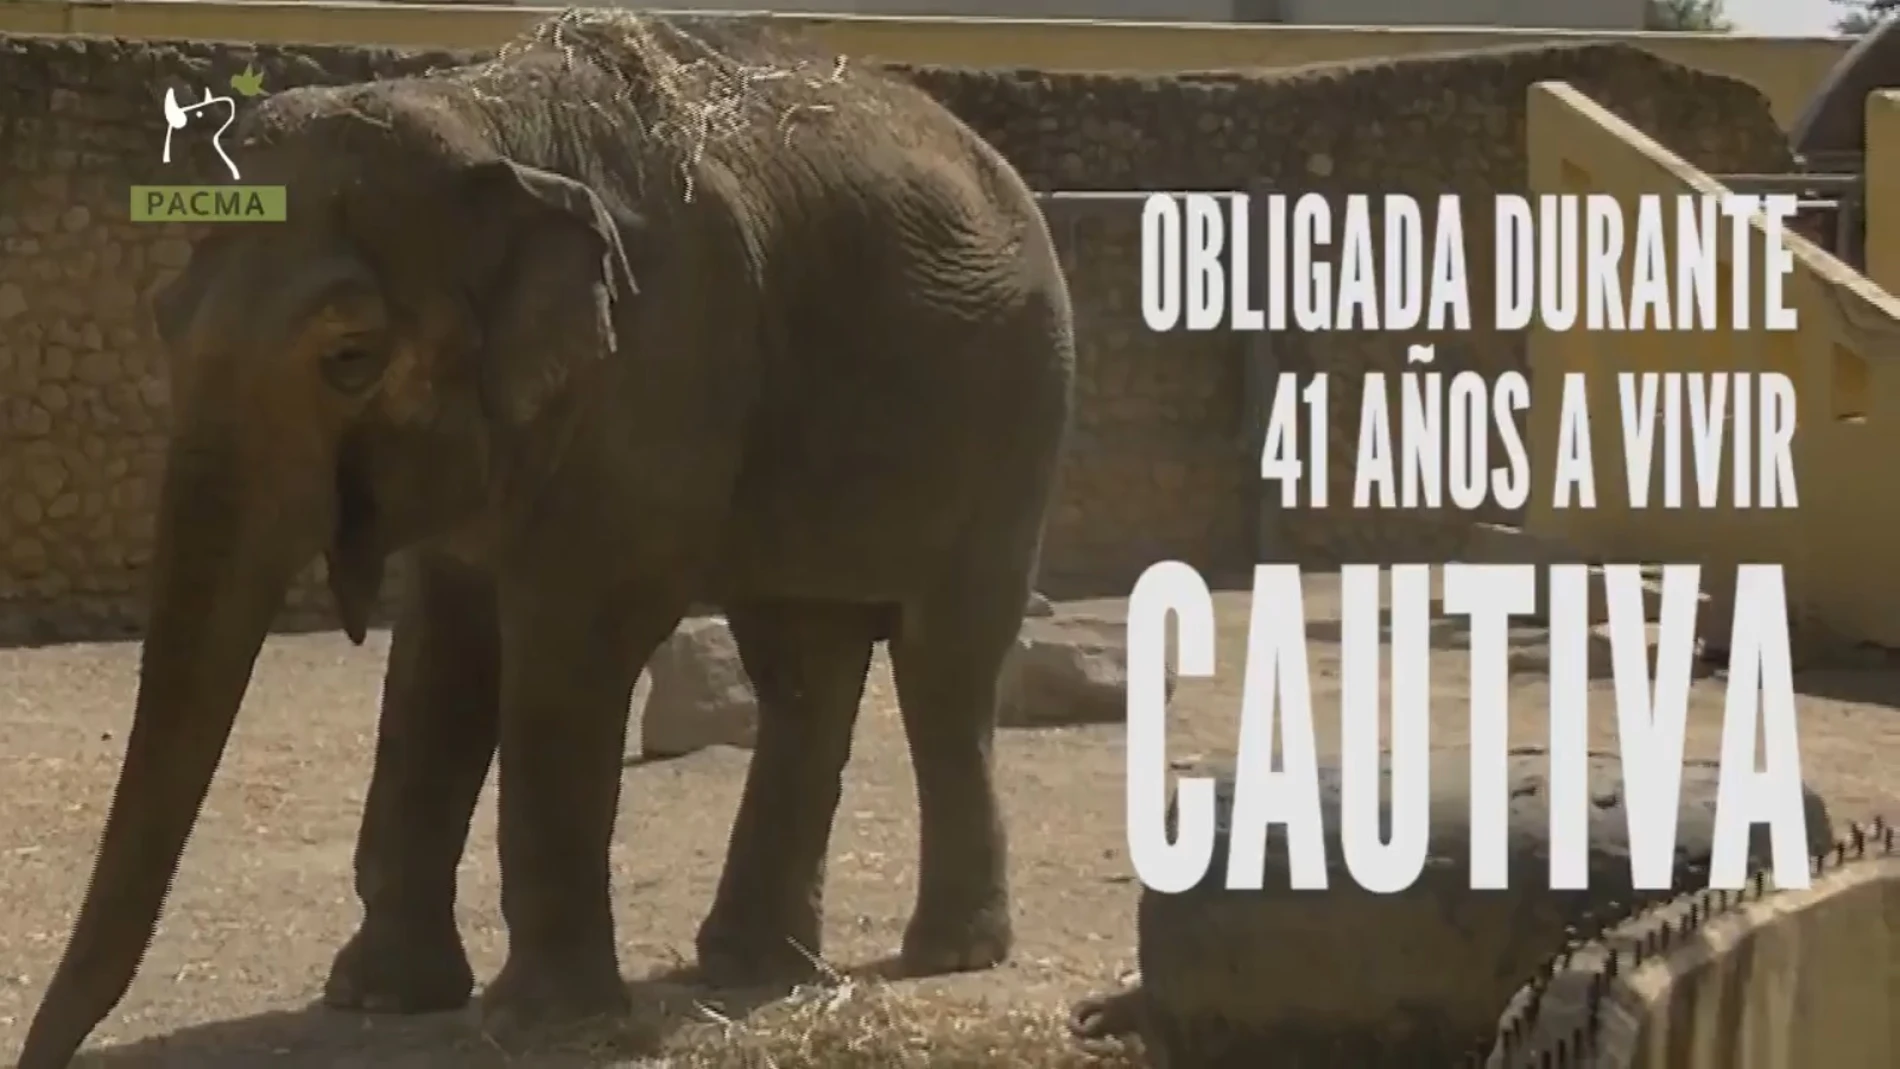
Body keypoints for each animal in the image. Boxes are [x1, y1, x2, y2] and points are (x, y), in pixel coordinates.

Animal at [19, 12, 1073, 1067]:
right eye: (163, 319)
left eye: (350, 357)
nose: (37, 1050)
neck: (486, 121)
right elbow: (439, 654)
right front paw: (379, 997)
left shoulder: (661, 363)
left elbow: (572, 643)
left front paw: (545, 1022)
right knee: (801, 661)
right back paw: (751, 967)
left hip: (1018, 413)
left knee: (942, 663)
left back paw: (946, 951)